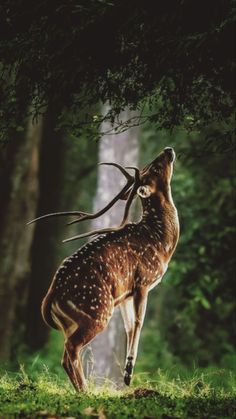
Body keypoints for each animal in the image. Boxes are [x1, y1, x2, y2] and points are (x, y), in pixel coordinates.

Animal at [28, 147, 179, 390]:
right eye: (155, 167)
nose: (168, 149)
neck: (161, 242)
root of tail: (50, 296)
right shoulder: (143, 281)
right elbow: (139, 323)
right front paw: (128, 374)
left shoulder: (126, 294)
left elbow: (129, 327)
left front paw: (127, 373)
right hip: (97, 311)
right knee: (72, 348)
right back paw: (86, 390)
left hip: (73, 322)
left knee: (65, 355)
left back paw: (80, 390)